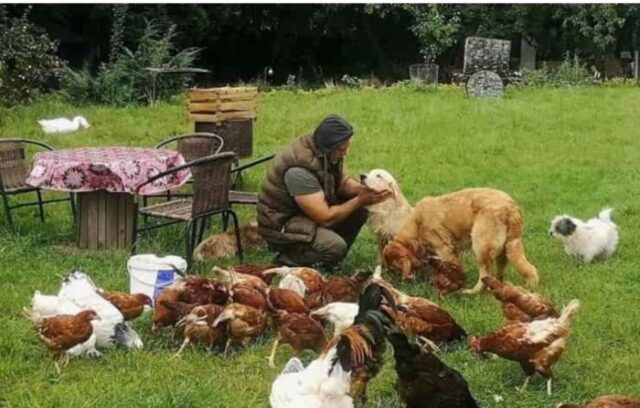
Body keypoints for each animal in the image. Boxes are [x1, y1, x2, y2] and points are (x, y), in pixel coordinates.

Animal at [382, 188, 536, 294]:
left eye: (394, 268)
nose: (394, 280)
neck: (415, 225)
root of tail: (511, 207)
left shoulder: (444, 249)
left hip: (481, 246)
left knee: (485, 274)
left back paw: (472, 291)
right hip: (506, 250)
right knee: (500, 273)